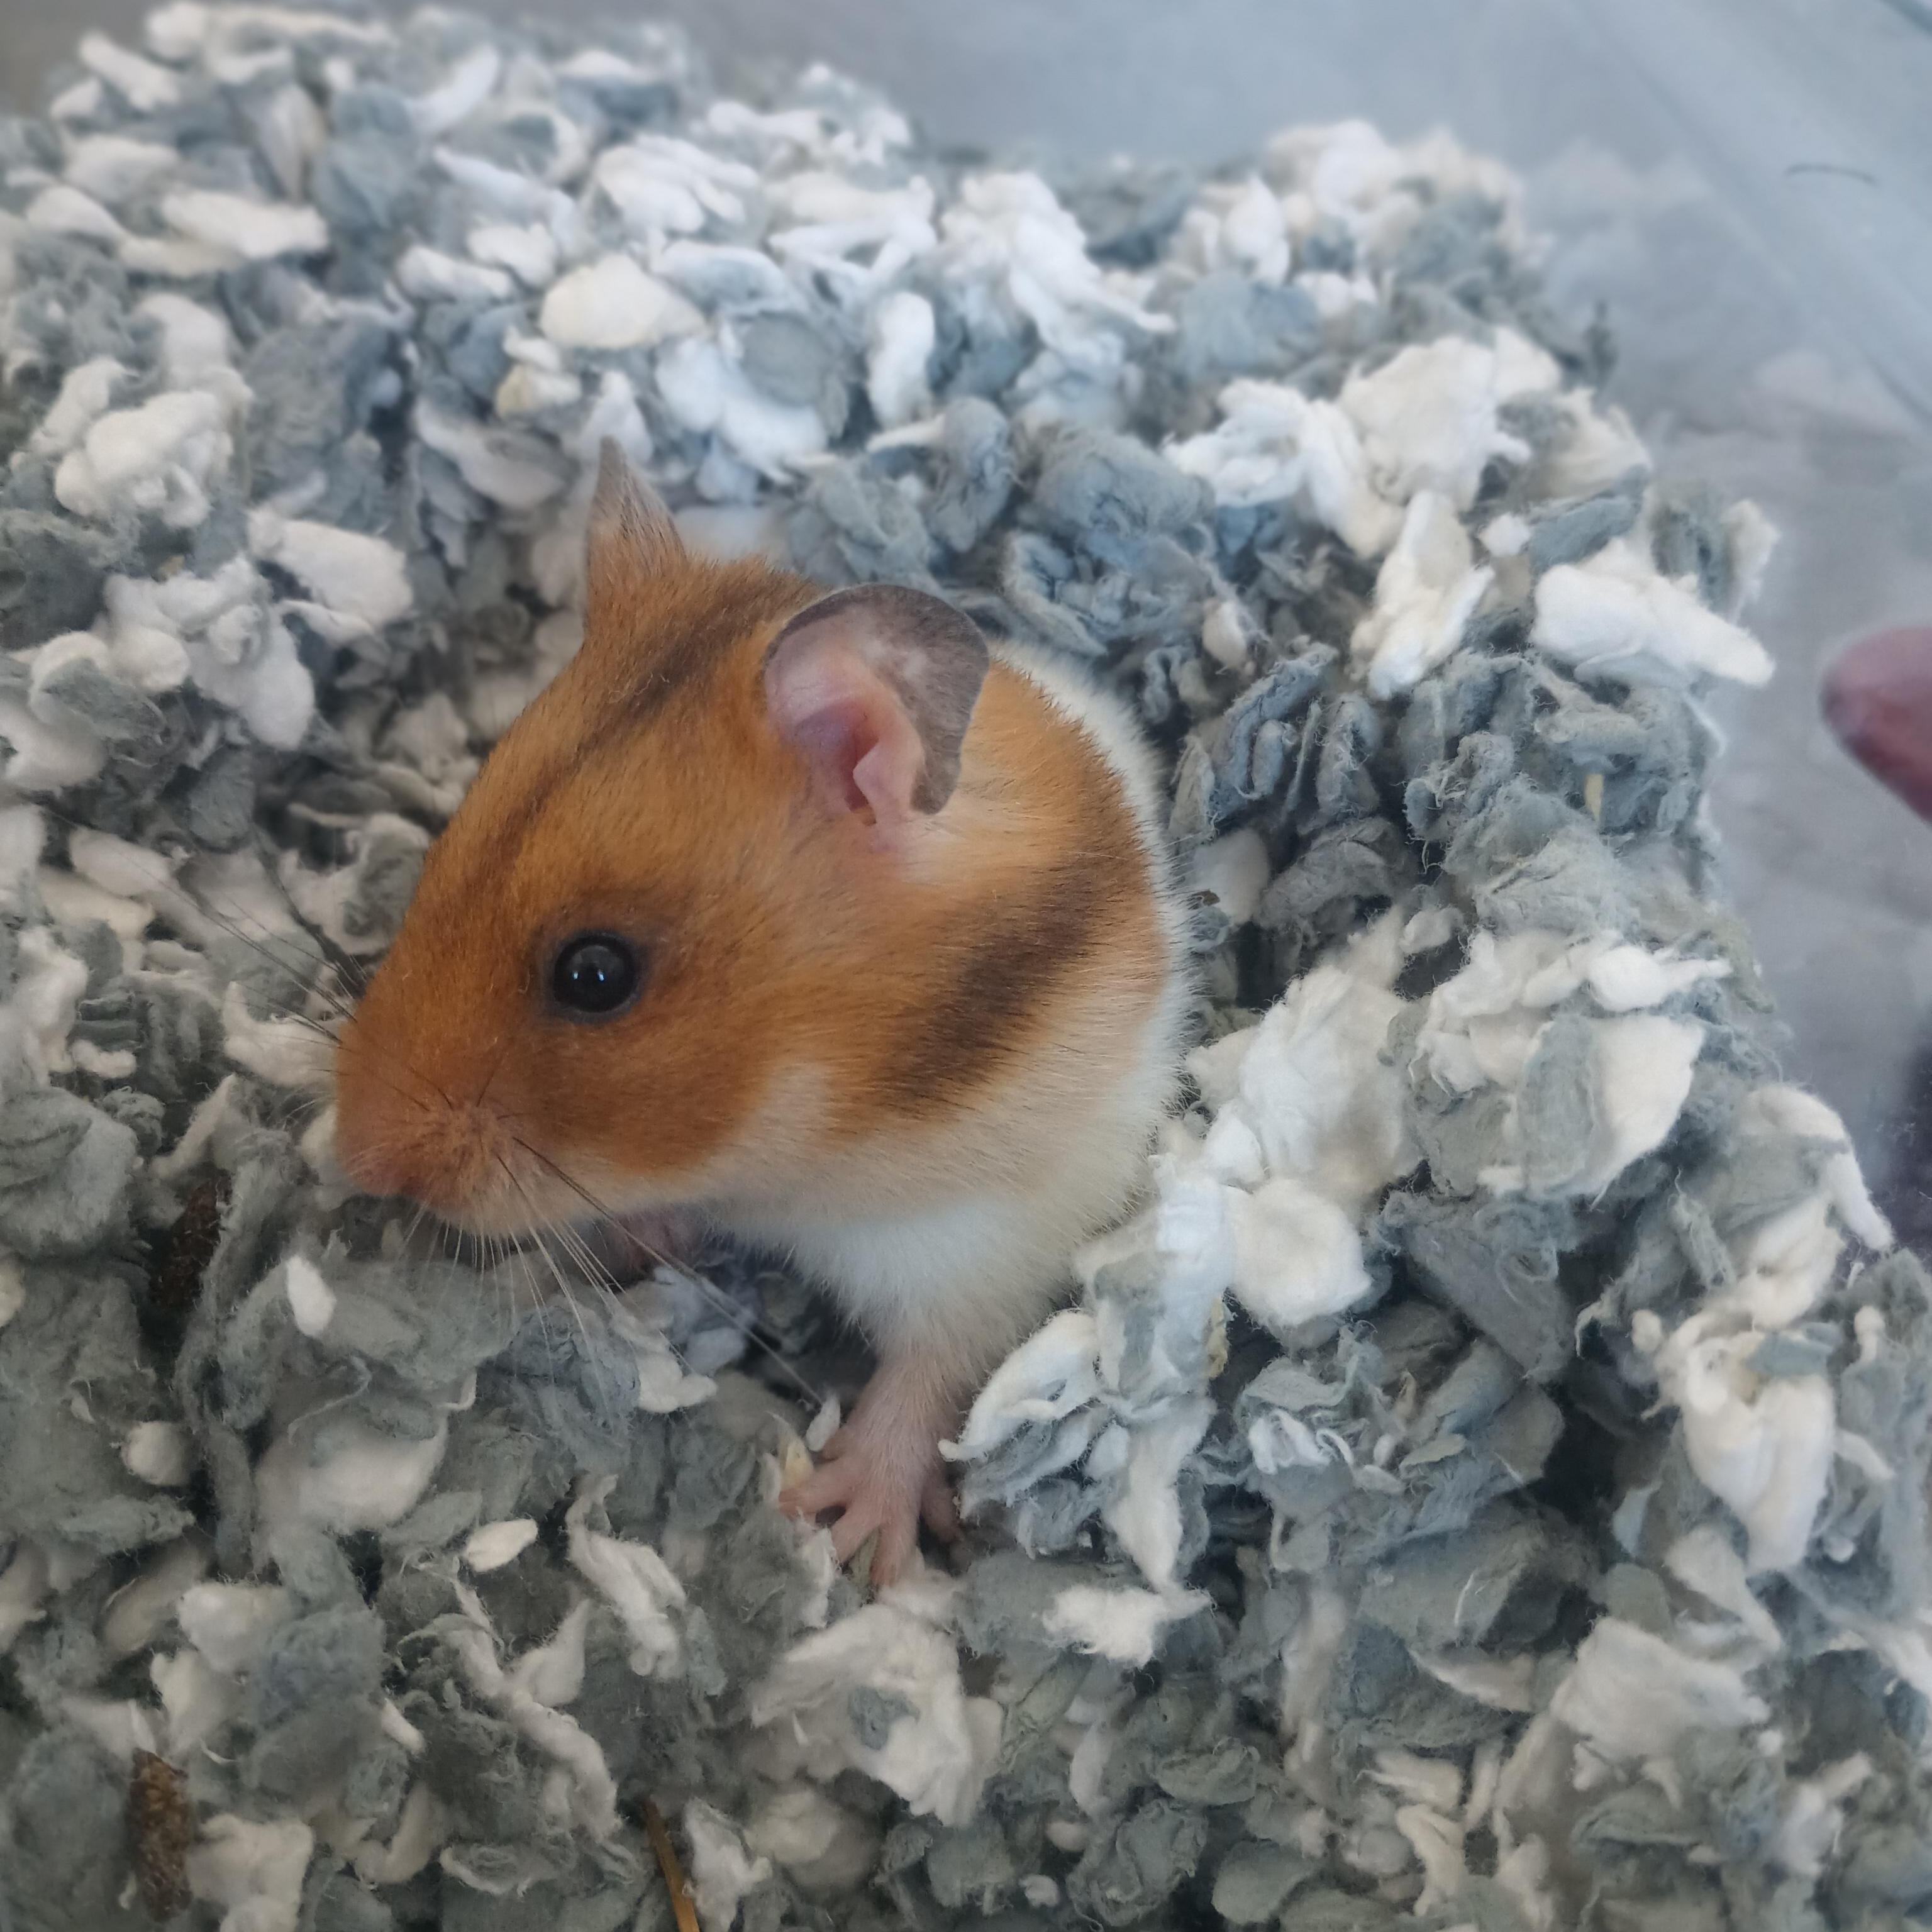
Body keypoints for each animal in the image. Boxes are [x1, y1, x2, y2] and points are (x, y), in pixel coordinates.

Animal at [333, 443, 1192, 1584]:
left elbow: (926, 1383)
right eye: (438, 860)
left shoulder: (986, 1247)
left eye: (595, 975)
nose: (352, 1159)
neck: (804, 1138)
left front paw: (840, 1534)